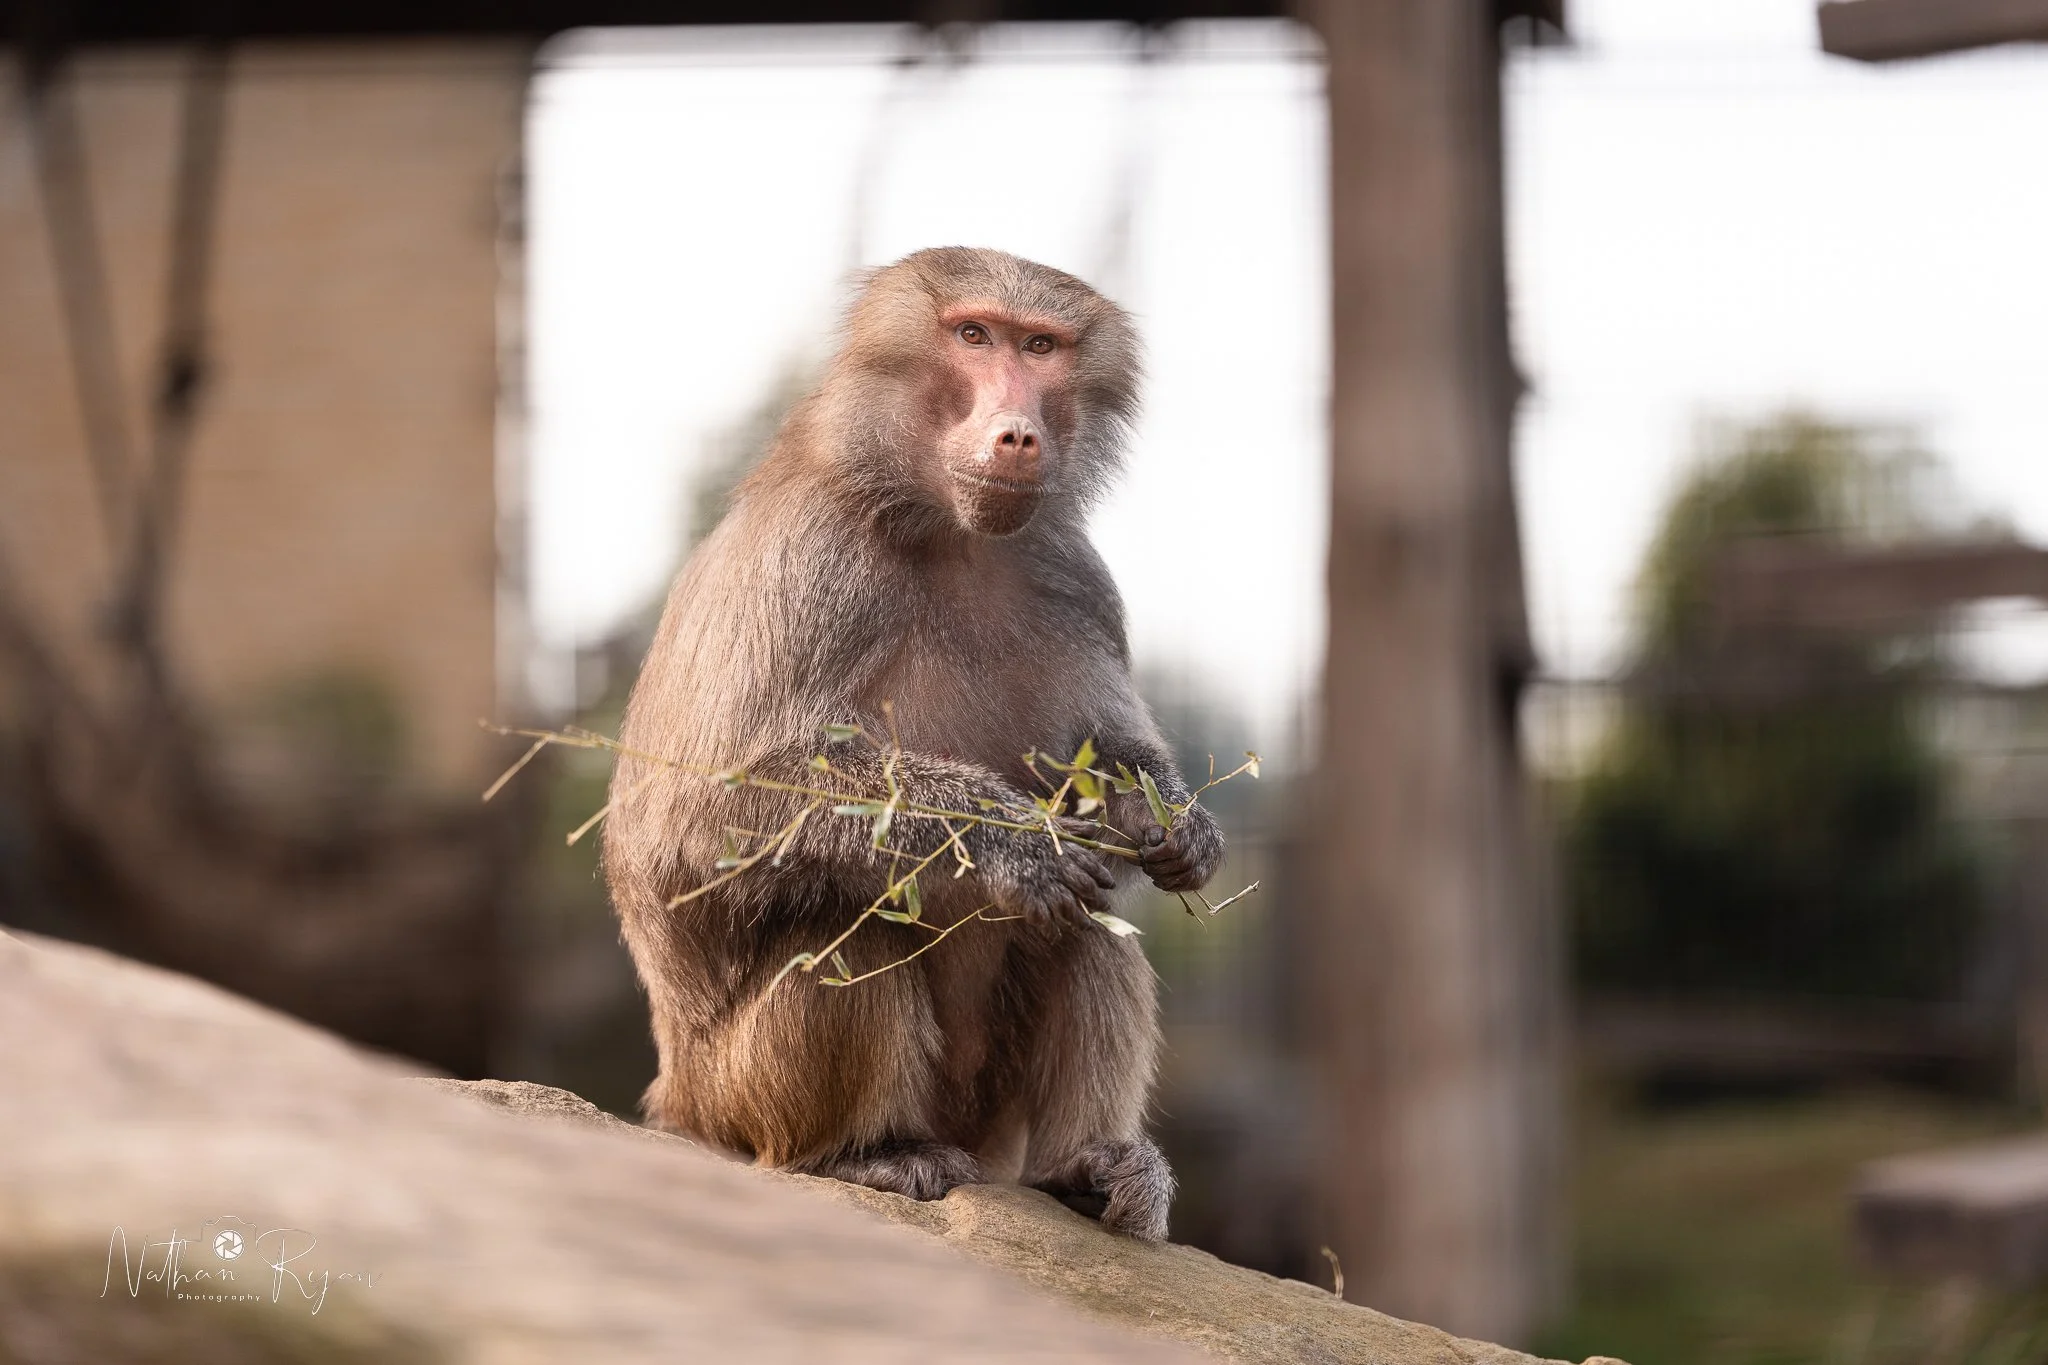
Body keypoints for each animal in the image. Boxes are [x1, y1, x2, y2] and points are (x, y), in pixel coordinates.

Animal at [602, 247, 1224, 1241]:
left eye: (1040, 346)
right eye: (972, 335)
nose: (1017, 435)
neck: (953, 533)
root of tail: (676, 1098)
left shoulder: (1075, 577)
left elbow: (1106, 771)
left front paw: (1166, 819)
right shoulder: (811, 558)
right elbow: (702, 816)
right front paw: (1013, 839)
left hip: (988, 1117)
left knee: (1090, 927)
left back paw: (1089, 1171)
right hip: (735, 1096)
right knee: (844, 927)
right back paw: (864, 1153)